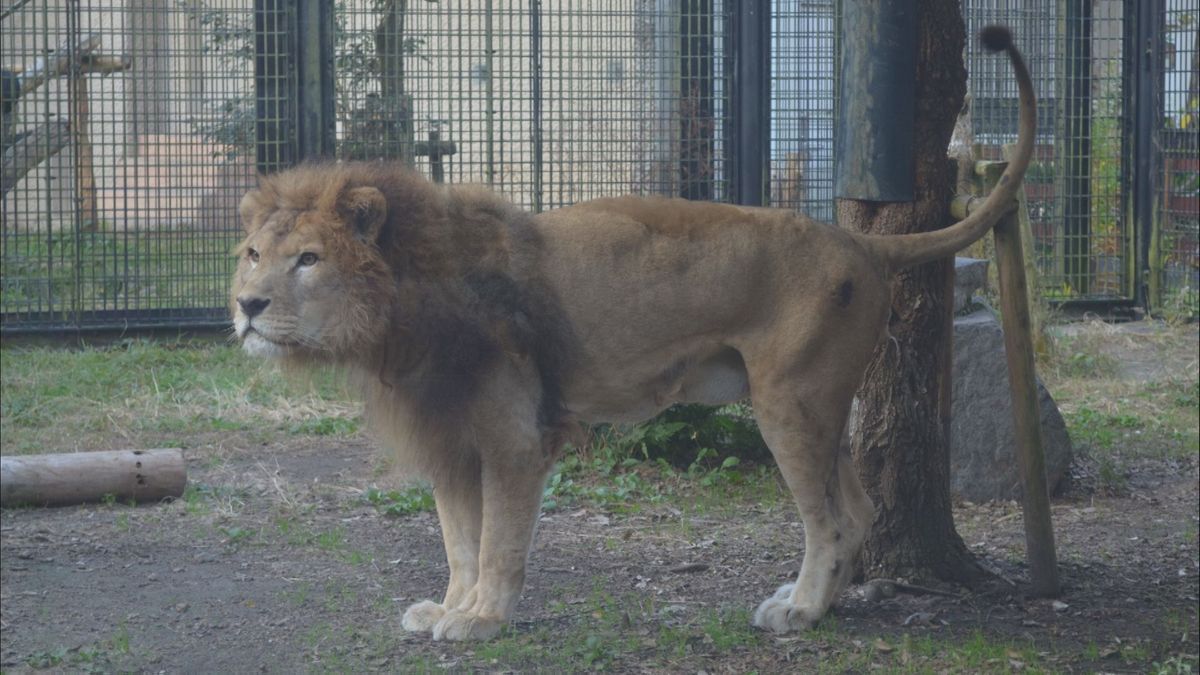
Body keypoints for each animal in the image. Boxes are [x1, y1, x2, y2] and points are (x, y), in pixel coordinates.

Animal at [231, 26, 1032, 634]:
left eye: (308, 259)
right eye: (253, 253)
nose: (245, 306)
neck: (398, 308)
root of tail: (860, 241)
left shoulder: (516, 438)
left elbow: (496, 541)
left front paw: (482, 618)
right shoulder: (451, 440)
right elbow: (458, 540)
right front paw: (450, 608)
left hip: (790, 403)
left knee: (831, 520)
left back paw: (798, 612)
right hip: (816, 404)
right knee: (859, 510)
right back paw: (812, 603)